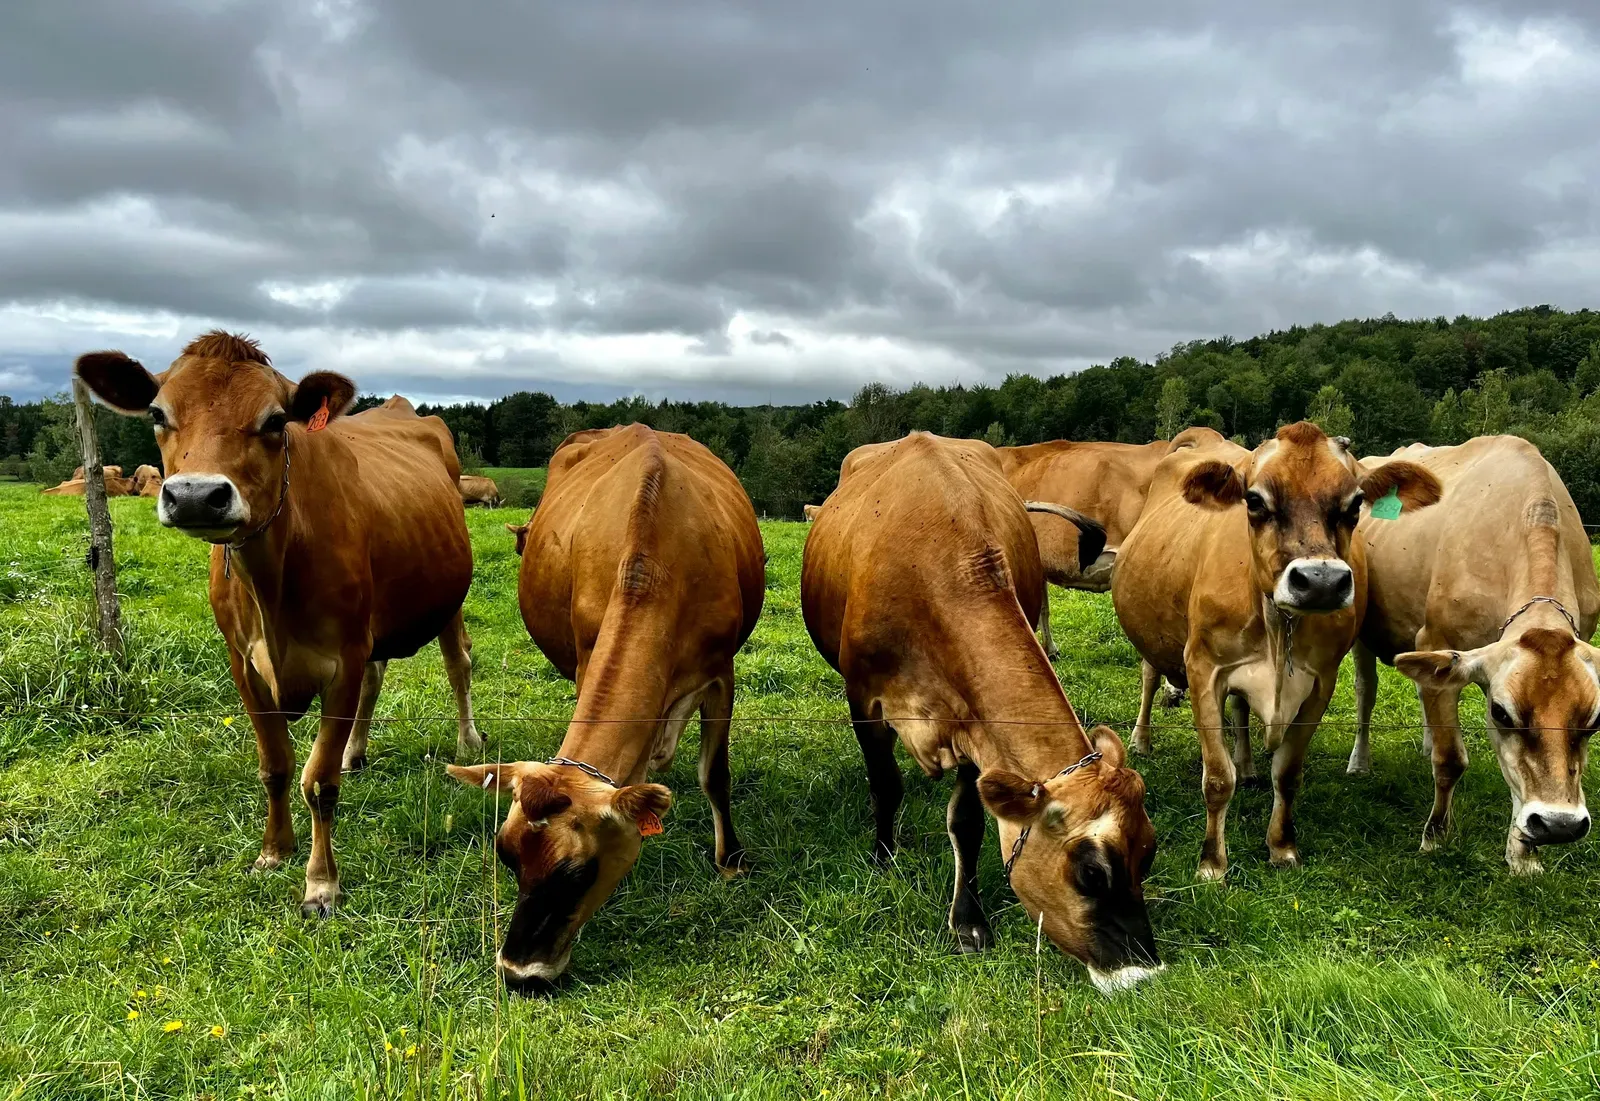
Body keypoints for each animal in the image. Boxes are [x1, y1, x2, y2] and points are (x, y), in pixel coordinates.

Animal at [75, 330, 481, 918]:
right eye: (157, 412)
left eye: (274, 420)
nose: (195, 496)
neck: (273, 583)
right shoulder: (243, 663)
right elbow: (276, 765)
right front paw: (273, 850)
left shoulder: (343, 658)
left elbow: (320, 781)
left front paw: (321, 883)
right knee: (378, 677)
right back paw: (357, 752)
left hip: (447, 599)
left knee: (458, 663)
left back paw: (468, 742)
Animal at [447, 423, 765, 992]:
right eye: (506, 854)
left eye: (577, 873)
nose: (517, 973)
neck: (655, 567)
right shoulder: (584, 658)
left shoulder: (721, 672)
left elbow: (715, 774)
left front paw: (730, 859)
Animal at [800, 431, 1161, 994]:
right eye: (1091, 873)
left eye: (1149, 851)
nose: (1143, 973)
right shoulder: (864, 699)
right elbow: (886, 785)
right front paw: (883, 856)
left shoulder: (976, 731)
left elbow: (967, 821)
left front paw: (968, 919)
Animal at [1112, 422, 1442, 880]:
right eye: (1254, 500)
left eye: (1356, 503)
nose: (1320, 582)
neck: (1277, 625)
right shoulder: (1203, 669)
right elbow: (1217, 777)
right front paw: (1212, 863)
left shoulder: (1321, 682)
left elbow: (1287, 773)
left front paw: (1282, 847)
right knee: (1148, 676)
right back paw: (1142, 739)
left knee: (1240, 712)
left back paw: (1248, 765)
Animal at [1347, 436, 1600, 873]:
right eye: (1501, 713)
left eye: (1596, 720)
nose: (1560, 825)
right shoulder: (1435, 637)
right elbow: (1450, 759)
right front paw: (1435, 837)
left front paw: (1523, 855)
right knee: (1367, 690)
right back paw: (1360, 762)